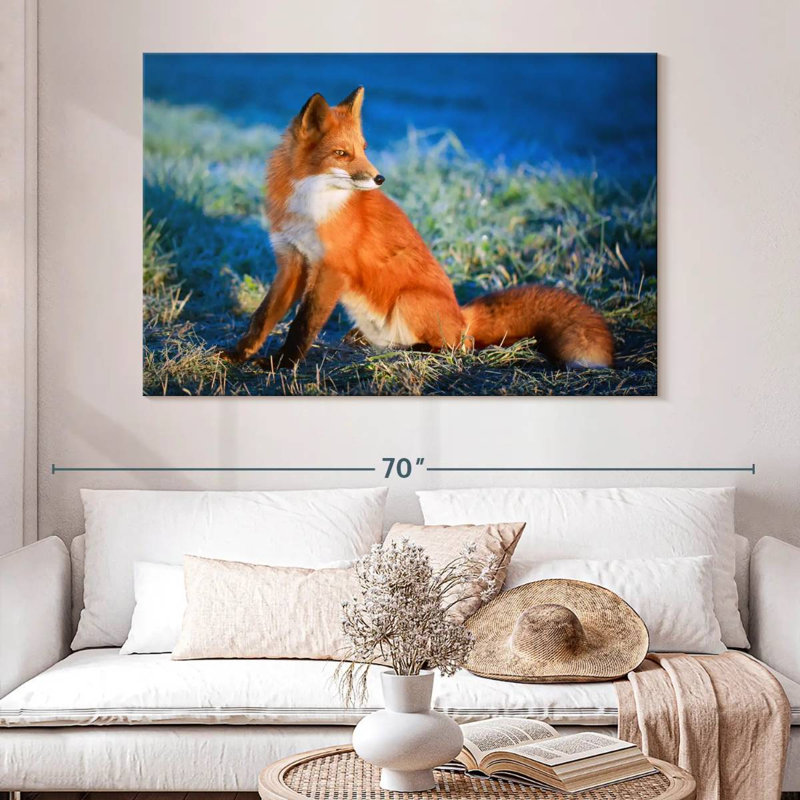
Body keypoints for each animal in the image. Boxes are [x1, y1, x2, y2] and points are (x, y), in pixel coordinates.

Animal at [223, 86, 614, 369]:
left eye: (364, 148)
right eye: (341, 154)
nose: (380, 178)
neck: (310, 205)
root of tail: (461, 315)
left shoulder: (332, 269)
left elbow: (302, 325)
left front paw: (281, 365)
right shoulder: (291, 262)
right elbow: (262, 317)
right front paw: (238, 355)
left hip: (408, 299)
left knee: (459, 347)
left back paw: (417, 350)